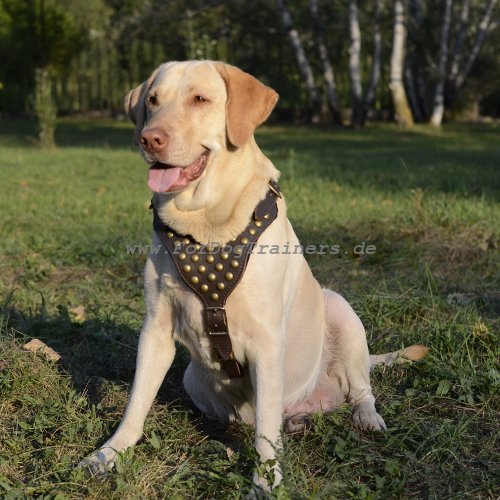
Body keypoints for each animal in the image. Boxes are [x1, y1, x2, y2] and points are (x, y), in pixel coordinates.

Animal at [81, 61, 426, 488]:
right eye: (153, 100)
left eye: (200, 99)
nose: (149, 139)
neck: (205, 223)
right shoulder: (156, 328)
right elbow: (136, 402)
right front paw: (109, 453)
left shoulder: (265, 340)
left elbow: (265, 426)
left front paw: (266, 480)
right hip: (193, 377)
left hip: (340, 311)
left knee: (359, 387)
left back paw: (365, 415)